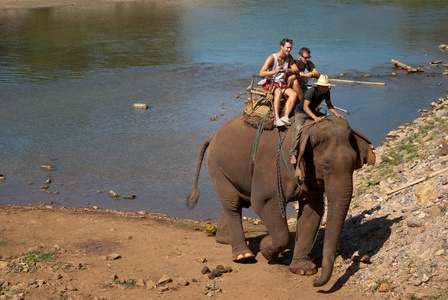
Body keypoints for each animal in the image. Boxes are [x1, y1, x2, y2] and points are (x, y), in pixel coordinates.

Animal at [186, 114, 374, 286]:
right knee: (232, 203)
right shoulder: (269, 168)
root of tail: (212, 136)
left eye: (353, 165)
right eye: (325, 167)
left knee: (236, 202)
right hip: (217, 167)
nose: (316, 283)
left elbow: (312, 212)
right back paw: (243, 256)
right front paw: (265, 249)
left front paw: (304, 270)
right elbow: (263, 203)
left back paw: (224, 240)